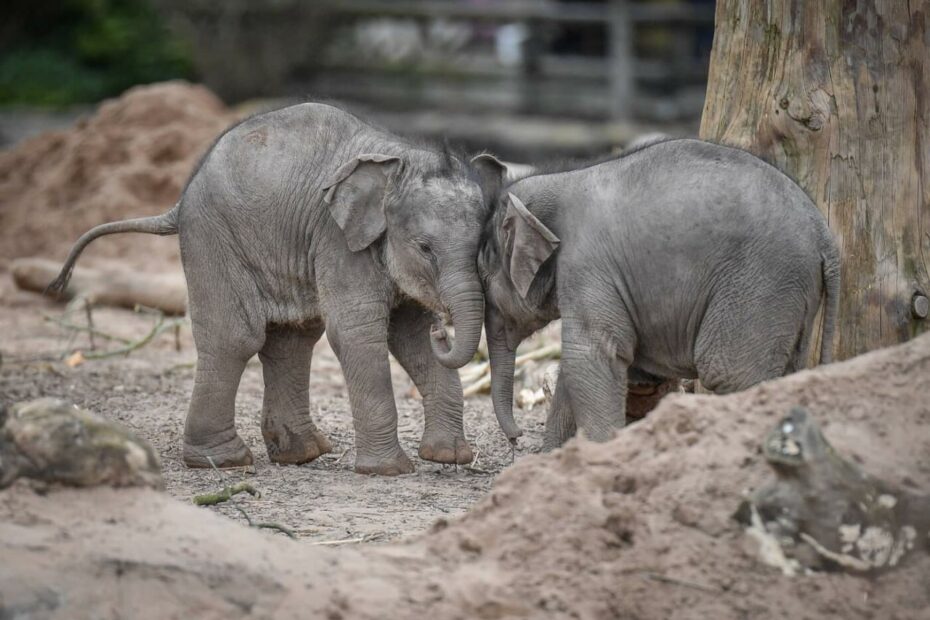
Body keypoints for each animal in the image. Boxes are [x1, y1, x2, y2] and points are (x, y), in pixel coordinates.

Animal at [49, 104, 486, 478]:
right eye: (425, 248)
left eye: (482, 246)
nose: (443, 328)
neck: (399, 158)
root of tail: (180, 201)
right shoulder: (338, 241)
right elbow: (358, 333)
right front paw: (389, 471)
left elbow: (410, 336)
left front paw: (449, 457)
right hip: (214, 237)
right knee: (235, 338)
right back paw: (225, 461)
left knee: (292, 339)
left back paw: (302, 454)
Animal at [472, 140, 840, 448]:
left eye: (484, 278)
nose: (517, 438)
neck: (560, 180)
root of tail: (826, 237)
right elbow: (576, 368)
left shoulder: (587, 266)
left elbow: (591, 355)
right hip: (792, 296)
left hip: (759, 286)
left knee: (732, 374)